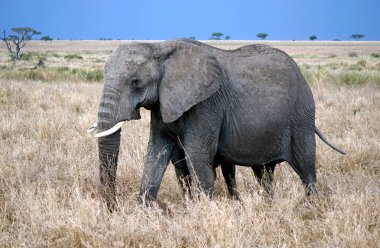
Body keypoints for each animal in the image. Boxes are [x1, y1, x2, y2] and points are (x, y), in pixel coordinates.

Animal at [89, 38, 344, 209]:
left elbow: (197, 153)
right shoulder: (163, 104)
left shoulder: (206, 105)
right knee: (263, 171)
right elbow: (156, 151)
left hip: (302, 112)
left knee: (305, 165)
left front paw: (207, 211)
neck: (159, 47)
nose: (111, 208)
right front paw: (144, 211)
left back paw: (313, 207)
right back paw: (268, 204)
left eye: (136, 81)